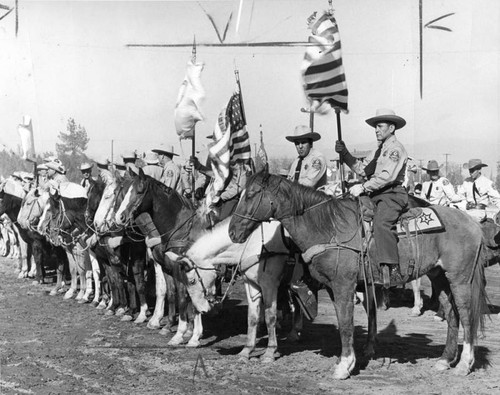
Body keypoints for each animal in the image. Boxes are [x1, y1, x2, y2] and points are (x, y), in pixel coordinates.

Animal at [229, 172, 490, 380]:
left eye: (251, 194)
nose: (233, 231)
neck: (328, 227)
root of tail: (472, 222)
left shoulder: (344, 285)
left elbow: (346, 324)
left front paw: (344, 366)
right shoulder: (334, 288)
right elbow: (345, 322)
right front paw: (347, 360)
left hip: (460, 278)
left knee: (466, 315)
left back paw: (464, 364)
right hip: (439, 276)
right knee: (451, 313)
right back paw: (445, 360)